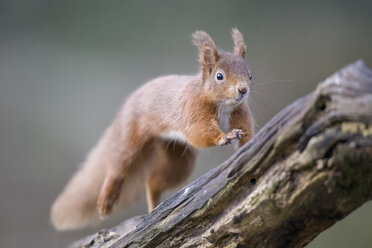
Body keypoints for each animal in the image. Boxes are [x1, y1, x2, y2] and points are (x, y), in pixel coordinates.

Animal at [50, 28, 254, 231]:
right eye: (220, 76)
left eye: (250, 75)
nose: (243, 90)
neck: (223, 105)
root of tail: (127, 105)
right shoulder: (194, 111)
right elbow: (201, 132)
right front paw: (224, 137)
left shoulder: (239, 113)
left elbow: (246, 133)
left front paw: (246, 141)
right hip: (131, 137)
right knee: (118, 166)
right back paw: (106, 199)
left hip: (177, 157)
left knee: (154, 182)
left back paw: (154, 207)